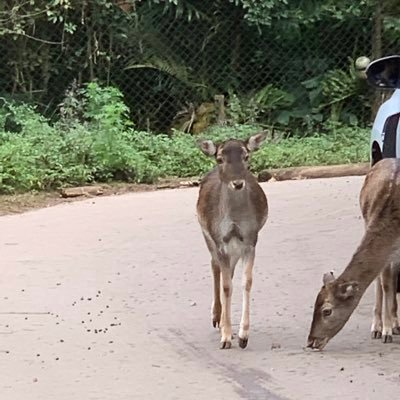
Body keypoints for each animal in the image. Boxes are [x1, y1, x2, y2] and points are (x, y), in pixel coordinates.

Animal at [196, 133, 268, 348]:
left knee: (229, 272)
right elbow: (227, 286)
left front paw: (243, 336)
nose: (237, 183)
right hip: (207, 236)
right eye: (220, 158)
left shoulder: (251, 240)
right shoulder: (219, 240)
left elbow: (247, 281)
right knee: (215, 267)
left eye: (246, 156)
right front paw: (226, 337)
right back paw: (216, 317)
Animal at [308, 159, 400, 350]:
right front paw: (385, 330)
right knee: (381, 279)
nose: (311, 341)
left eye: (327, 311)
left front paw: (389, 329)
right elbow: (386, 283)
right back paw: (377, 328)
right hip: (366, 222)